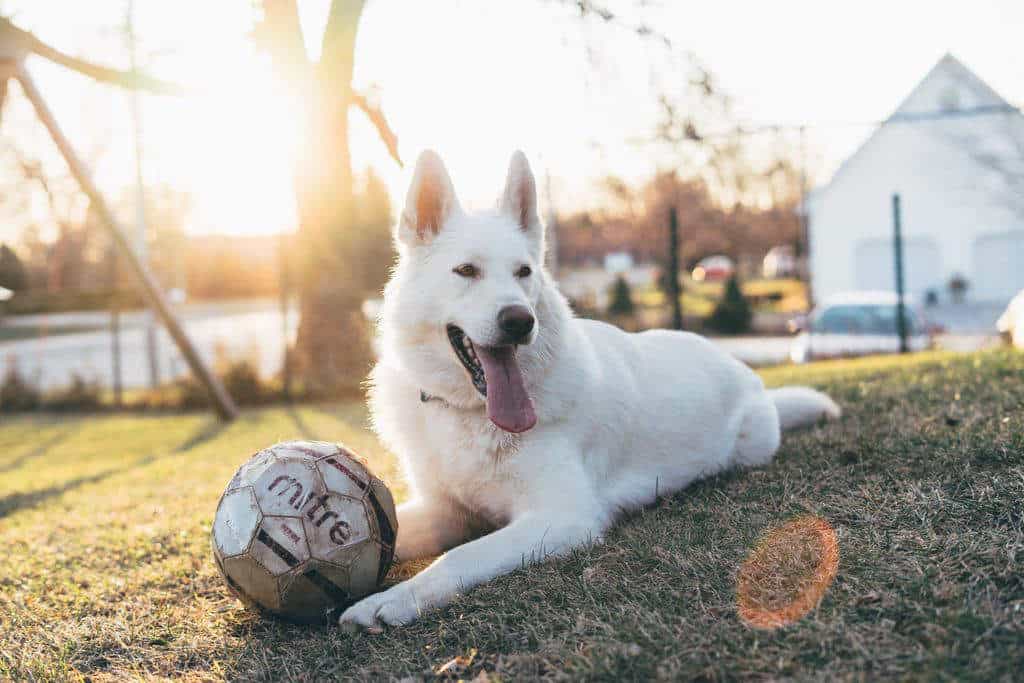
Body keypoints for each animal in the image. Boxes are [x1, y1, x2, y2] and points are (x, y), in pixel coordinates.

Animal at [339, 149, 835, 630]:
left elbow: (458, 556)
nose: (520, 321)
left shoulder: (564, 518)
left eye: (523, 272)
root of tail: (746, 374)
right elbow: (399, 533)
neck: (470, 413)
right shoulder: (445, 511)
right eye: (465, 270)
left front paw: (391, 601)